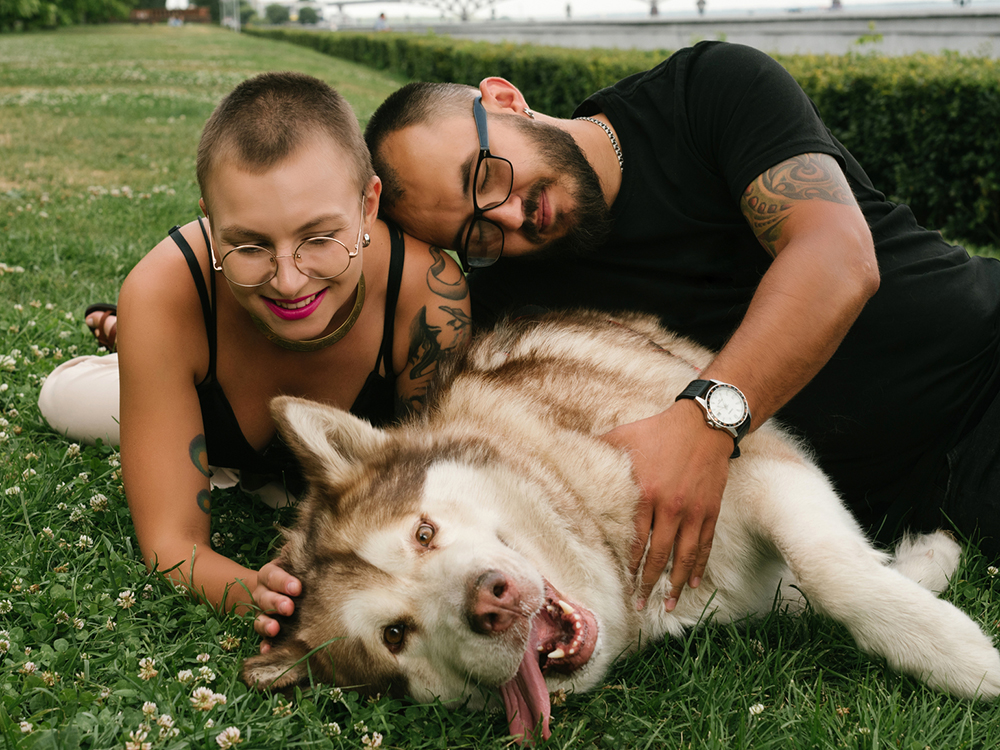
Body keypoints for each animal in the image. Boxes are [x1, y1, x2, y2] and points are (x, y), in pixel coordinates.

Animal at [242, 310, 1000, 740]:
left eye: (423, 533)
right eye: (395, 636)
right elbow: (817, 584)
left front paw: (960, 652)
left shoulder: (751, 467)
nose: (492, 603)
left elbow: (833, 571)